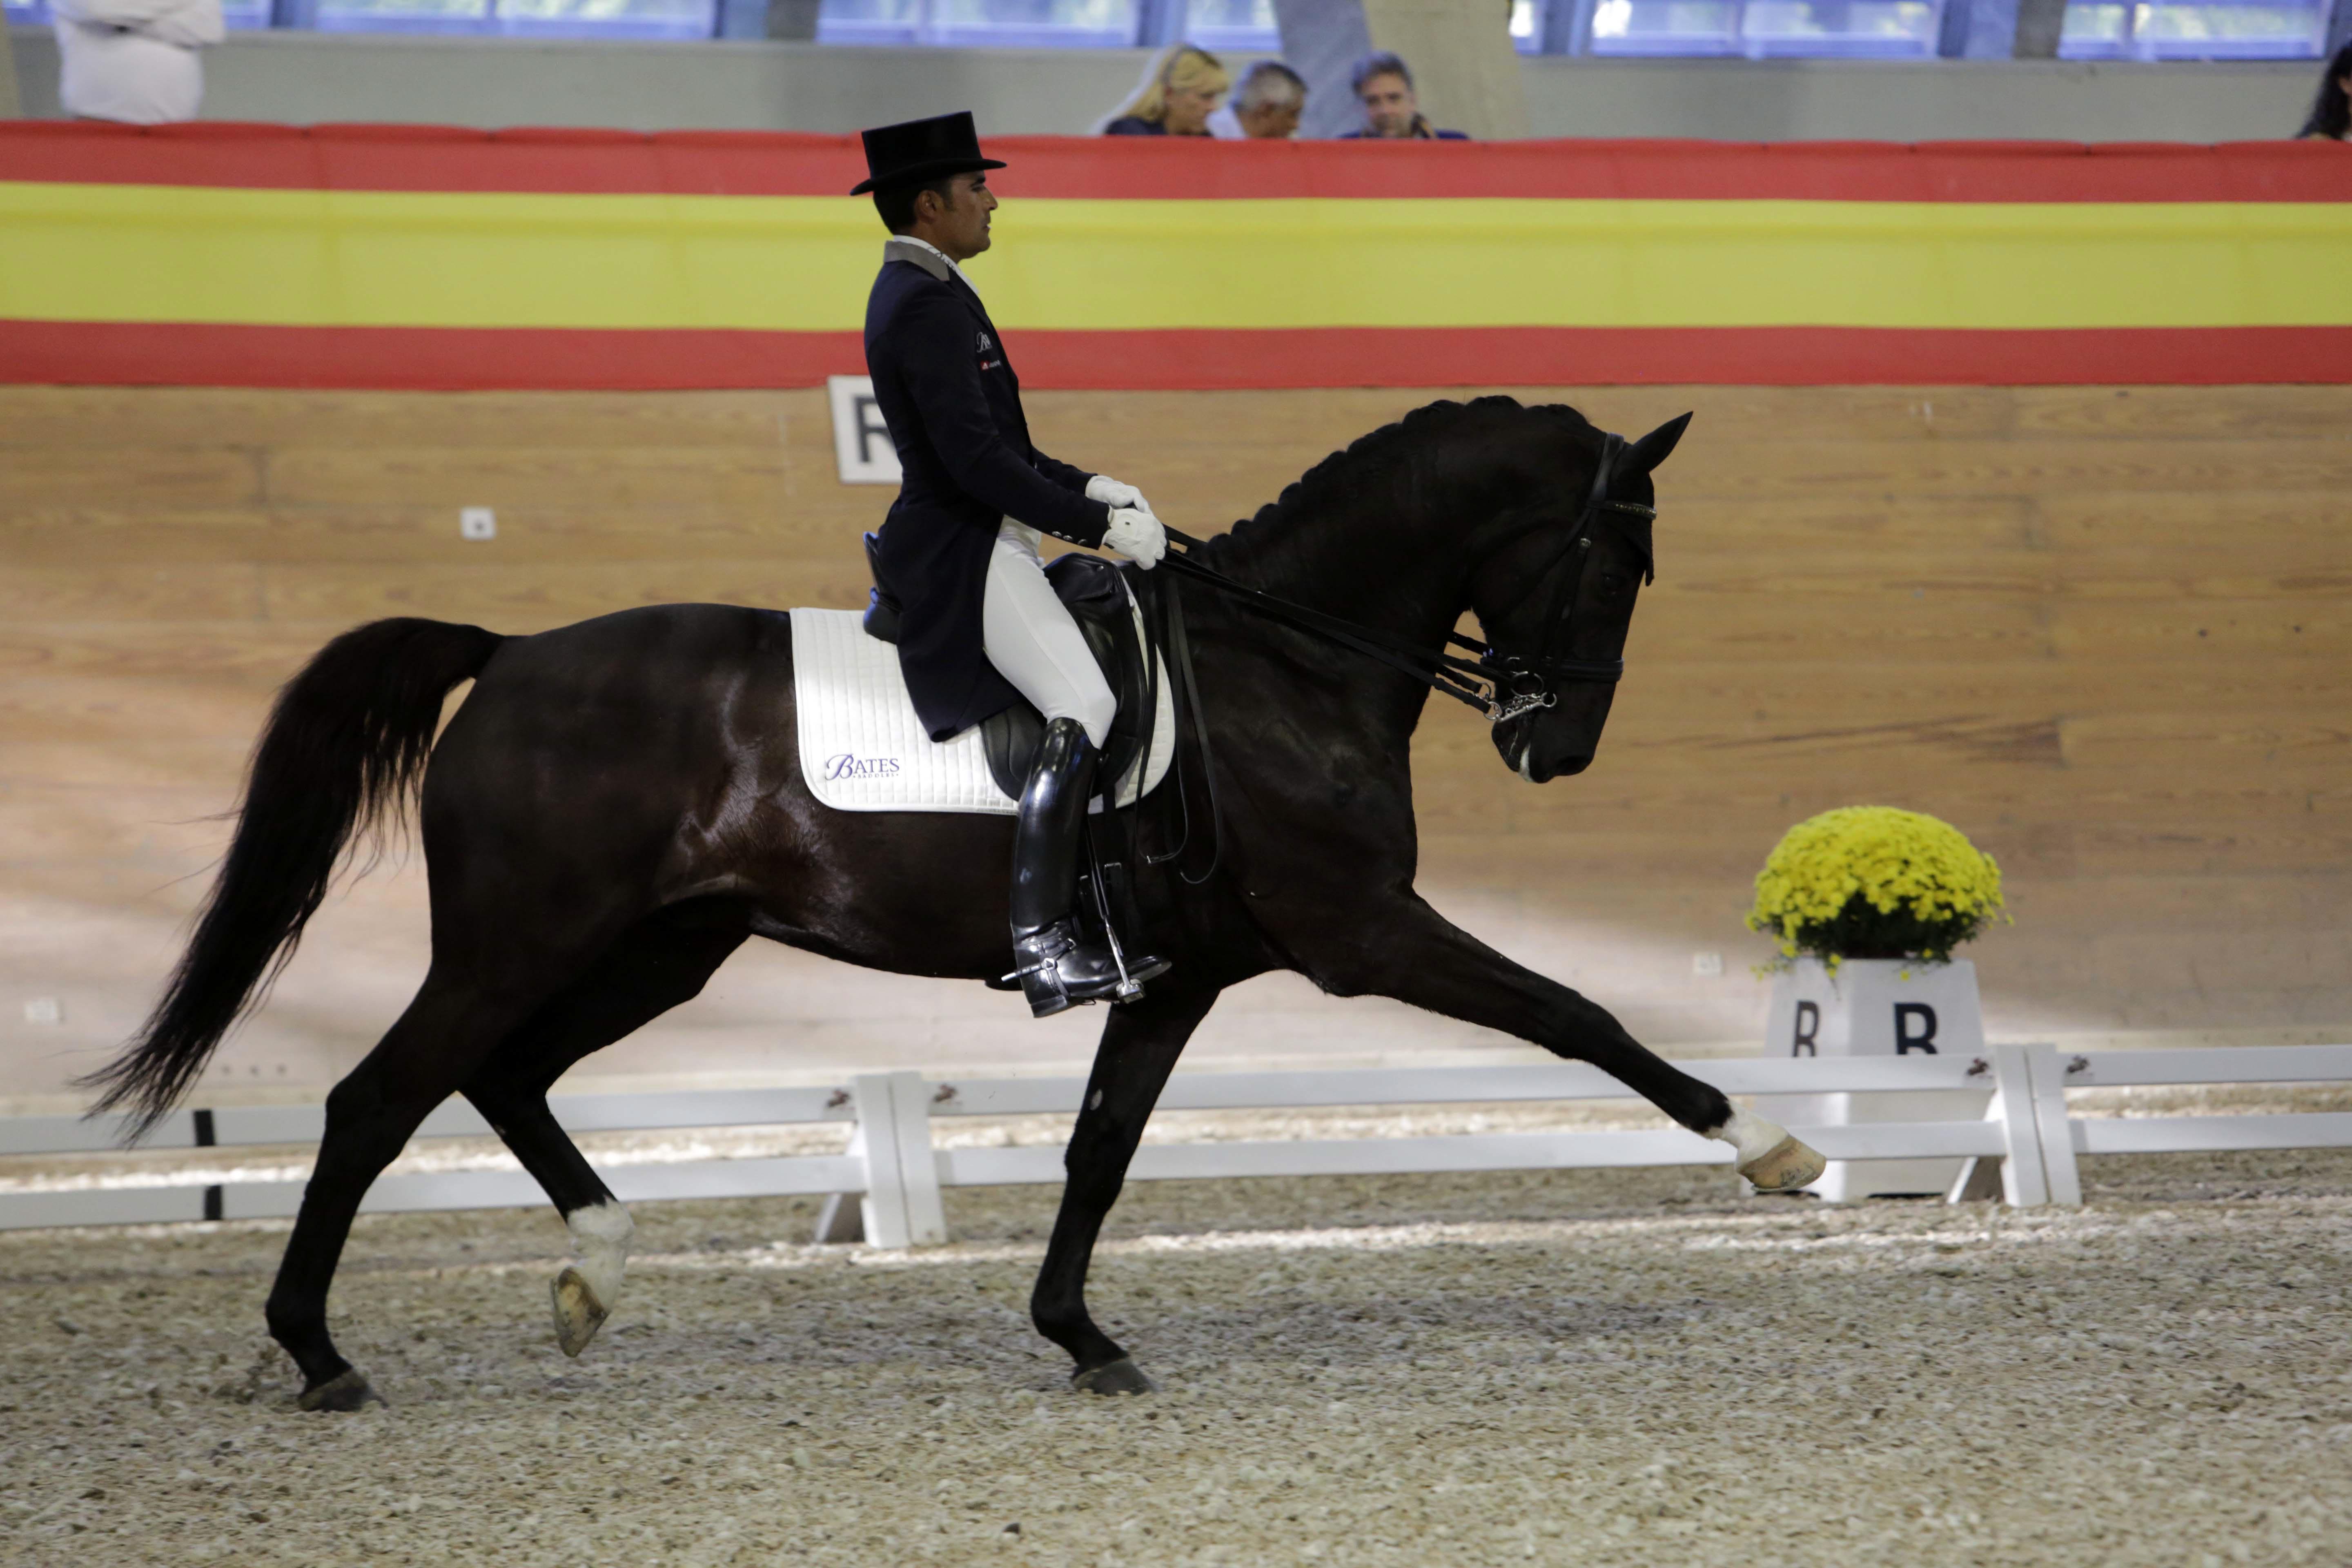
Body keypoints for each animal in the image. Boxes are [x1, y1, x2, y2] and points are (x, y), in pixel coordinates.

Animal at [87, 395, 1815, 1410]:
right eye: (1615, 568)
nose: (1554, 749)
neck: (1288, 658)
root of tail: (507, 656)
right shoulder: (1358, 934)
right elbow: (1577, 1010)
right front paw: (1765, 1146)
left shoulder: (1186, 973)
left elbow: (1102, 1150)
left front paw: (1080, 1335)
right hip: (528, 935)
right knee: (380, 1098)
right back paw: (320, 1354)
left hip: (663, 948)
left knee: (501, 1076)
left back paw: (594, 1268)